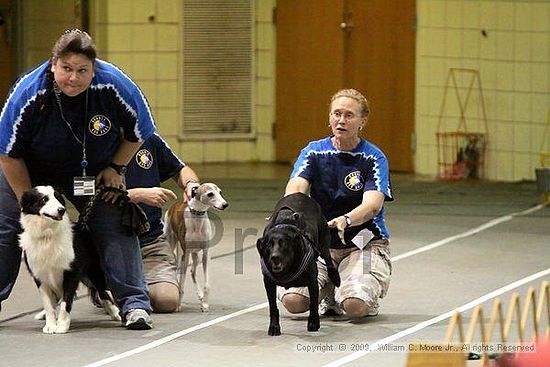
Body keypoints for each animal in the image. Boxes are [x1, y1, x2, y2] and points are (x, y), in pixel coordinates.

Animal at [258, 193, 340, 336]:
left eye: (284, 243)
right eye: (268, 244)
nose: (274, 257)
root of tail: (300, 194)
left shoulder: (313, 281)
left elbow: (313, 303)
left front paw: (313, 323)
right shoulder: (268, 282)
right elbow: (273, 307)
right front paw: (274, 327)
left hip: (324, 241)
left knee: (328, 259)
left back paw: (335, 277)